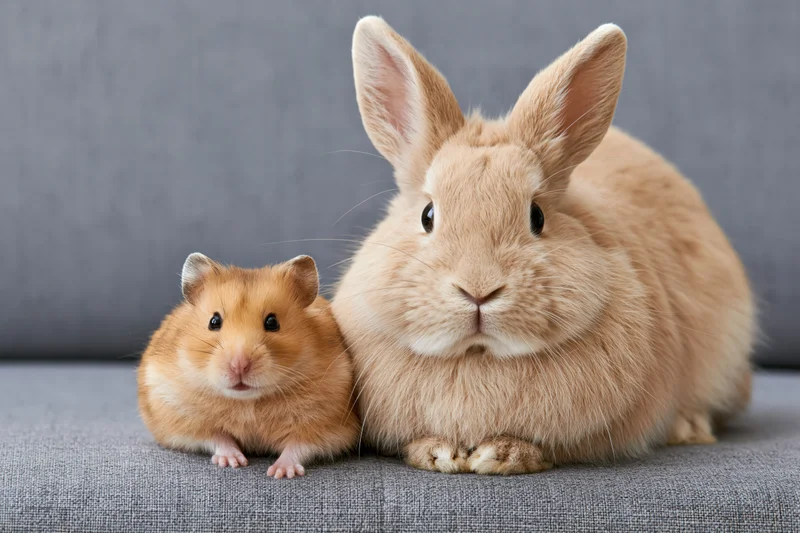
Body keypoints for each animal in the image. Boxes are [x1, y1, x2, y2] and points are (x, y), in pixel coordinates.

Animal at [138, 253, 359, 479]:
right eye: (214, 321)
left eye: (272, 322)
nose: (239, 366)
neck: (247, 402)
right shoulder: (180, 418)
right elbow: (217, 437)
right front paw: (234, 462)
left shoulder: (330, 426)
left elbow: (299, 445)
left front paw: (279, 472)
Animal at [331, 17, 755, 474]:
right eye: (427, 215)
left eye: (537, 216)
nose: (478, 290)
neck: (479, 357)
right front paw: (439, 452)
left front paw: (500, 454)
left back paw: (689, 427)